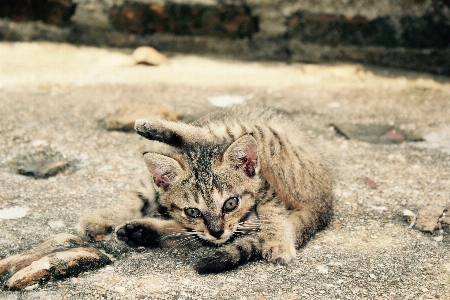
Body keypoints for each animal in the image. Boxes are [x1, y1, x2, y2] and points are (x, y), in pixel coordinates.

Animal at [77, 104, 332, 274]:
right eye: (193, 211)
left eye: (231, 203)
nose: (217, 231)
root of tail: (324, 200)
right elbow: (138, 199)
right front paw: (101, 219)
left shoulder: (263, 187)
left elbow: (272, 210)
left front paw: (277, 240)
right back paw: (142, 231)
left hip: (269, 139)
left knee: (211, 134)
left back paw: (152, 126)